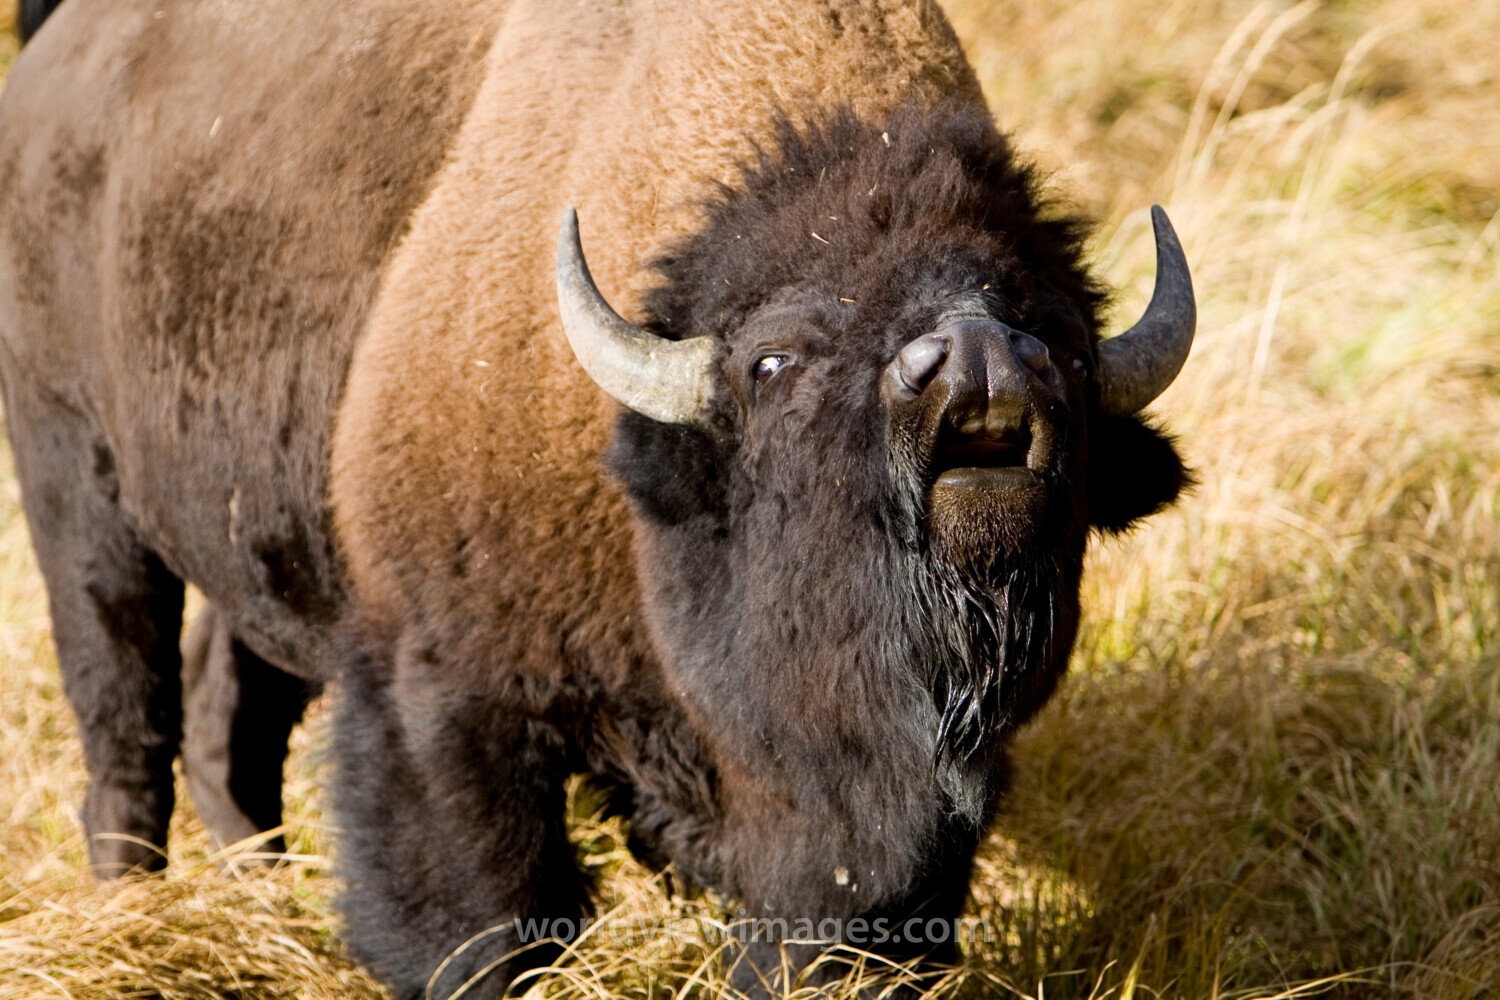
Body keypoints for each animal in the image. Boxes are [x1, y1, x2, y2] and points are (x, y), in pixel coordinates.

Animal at [0, 0, 1194, 996]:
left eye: (1065, 347)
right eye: (772, 362)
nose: (981, 360)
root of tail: (51, 70)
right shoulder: (444, 696)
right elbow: (488, 920)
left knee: (224, 715)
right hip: (76, 486)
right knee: (128, 719)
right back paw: (134, 904)